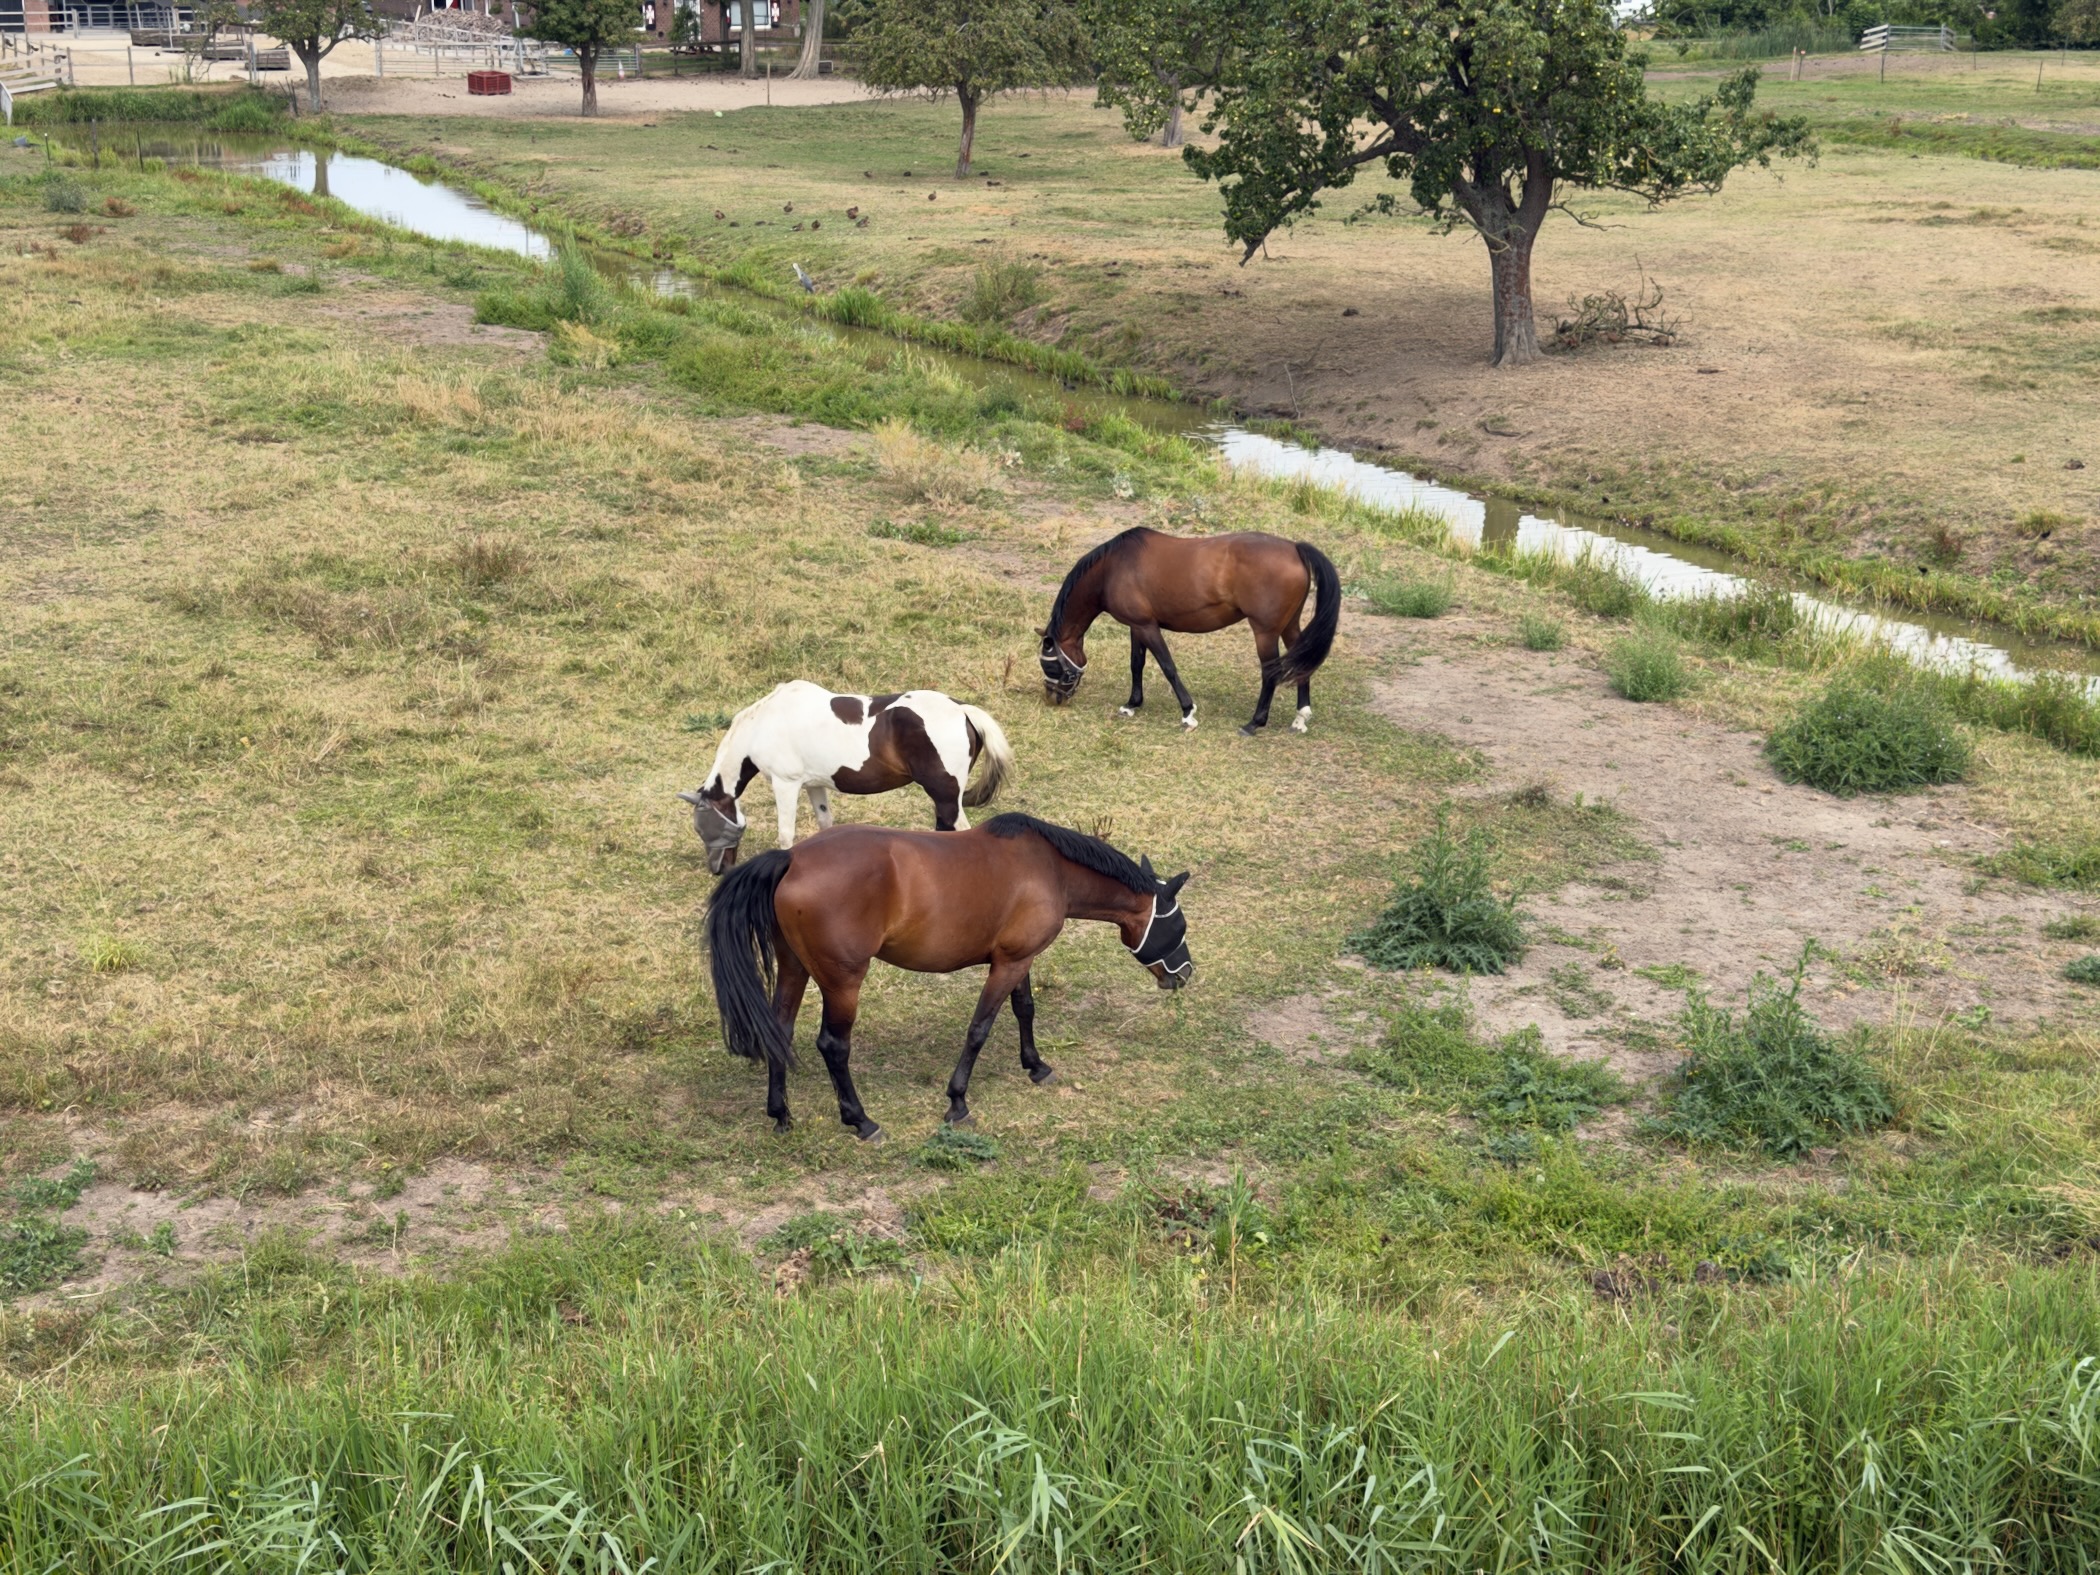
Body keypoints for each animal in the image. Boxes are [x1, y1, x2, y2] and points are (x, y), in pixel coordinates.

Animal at [678, 681, 1015, 876]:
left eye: (702, 827)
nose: (718, 869)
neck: (764, 724)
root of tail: (961, 709)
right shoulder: (814, 785)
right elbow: (825, 823)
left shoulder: (786, 784)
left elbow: (786, 834)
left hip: (945, 795)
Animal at [707, 813, 1193, 1138]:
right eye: (1179, 925)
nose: (1185, 973)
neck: (1048, 867)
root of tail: (791, 857)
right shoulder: (1009, 963)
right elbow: (980, 1028)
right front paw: (957, 1101)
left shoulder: (1019, 959)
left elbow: (1024, 1009)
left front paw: (1035, 1066)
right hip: (843, 982)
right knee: (833, 1045)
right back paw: (860, 1120)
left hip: (795, 967)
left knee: (780, 1030)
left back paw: (781, 1114)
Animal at [1037, 527, 1341, 736]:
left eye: (1050, 666)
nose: (1053, 698)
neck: (1113, 568)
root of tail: (1295, 548)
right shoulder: (1137, 626)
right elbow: (1137, 664)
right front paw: (1132, 704)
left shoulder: (1147, 627)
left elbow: (1168, 667)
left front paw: (1188, 713)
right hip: (1289, 626)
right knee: (1301, 663)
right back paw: (1300, 717)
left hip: (1265, 632)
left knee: (1270, 672)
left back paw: (1254, 723)